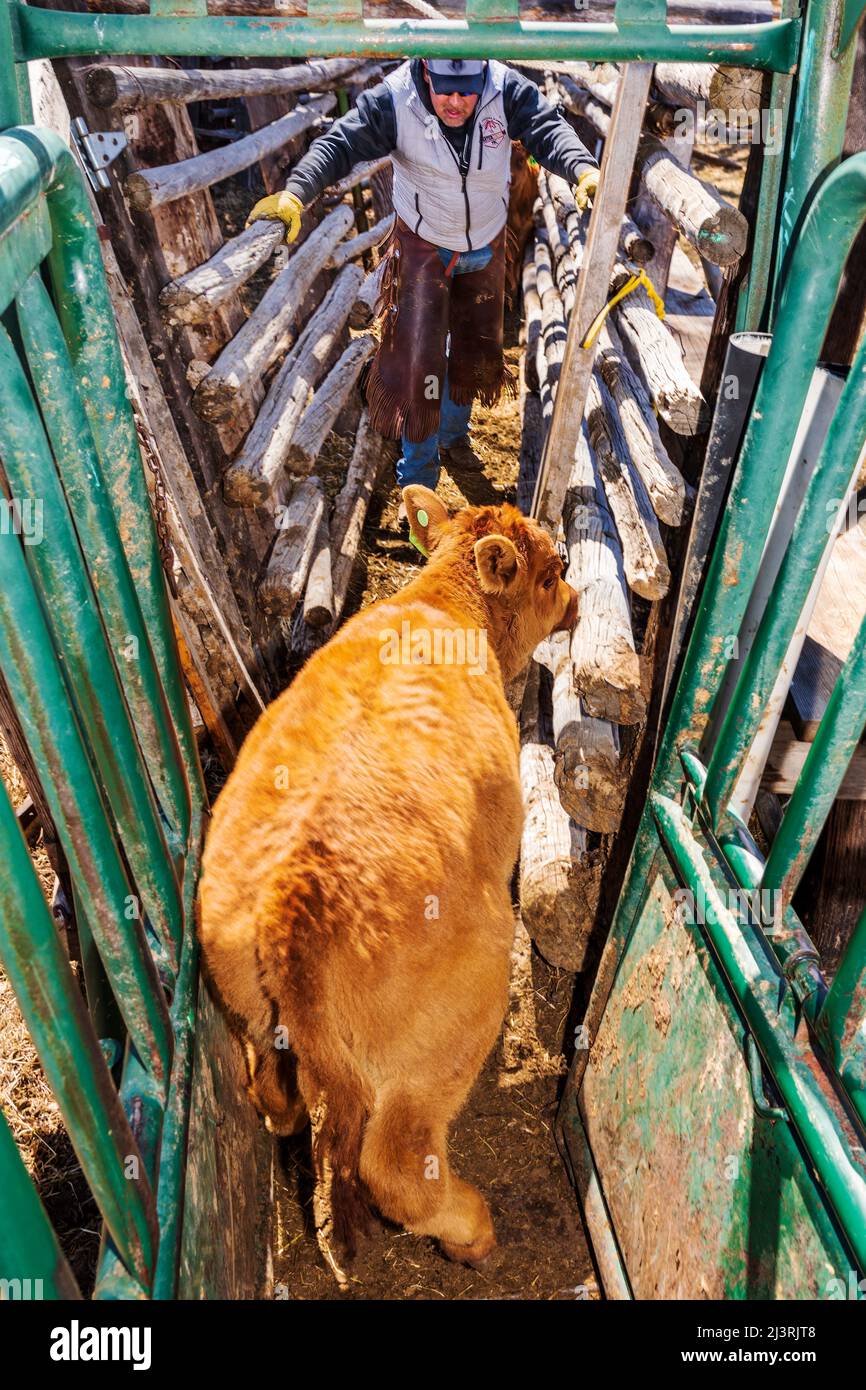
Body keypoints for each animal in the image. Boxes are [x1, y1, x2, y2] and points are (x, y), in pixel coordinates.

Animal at [200, 489, 578, 1273]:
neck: (444, 606)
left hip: (249, 1010)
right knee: (396, 1168)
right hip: (445, 1035)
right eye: (554, 569)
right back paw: (472, 1232)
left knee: (270, 1088)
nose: (578, 600)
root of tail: (294, 896)